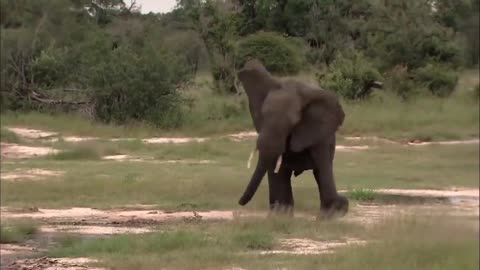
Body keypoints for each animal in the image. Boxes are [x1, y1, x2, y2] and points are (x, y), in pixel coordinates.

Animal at [237, 59, 346, 217]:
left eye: (293, 123)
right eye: (262, 116)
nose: (239, 203)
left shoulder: (318, 132)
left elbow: (321, 168)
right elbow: (276, 169)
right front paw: (280, 216)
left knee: (321, 171)